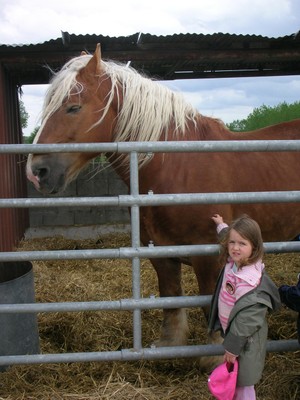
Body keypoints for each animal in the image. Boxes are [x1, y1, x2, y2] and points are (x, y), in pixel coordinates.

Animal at [26, 43, 300, 348]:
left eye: (73, 107)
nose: (36, 171)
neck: (177, 167)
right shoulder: (160, 252)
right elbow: (171, 301)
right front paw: (171, 345)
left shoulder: (209, 259)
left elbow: (211, 310)